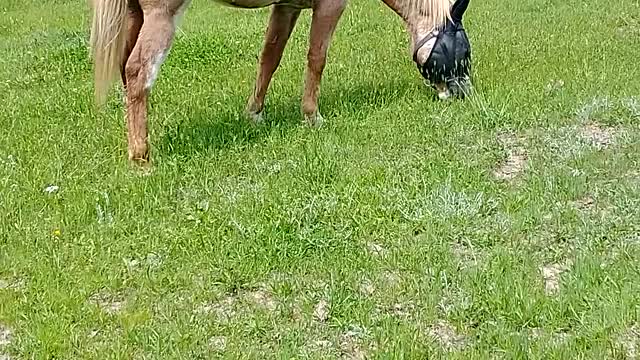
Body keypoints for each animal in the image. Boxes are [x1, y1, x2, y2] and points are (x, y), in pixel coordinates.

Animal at [90, 0, 468, 166]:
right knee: (138, 72)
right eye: (463, 48)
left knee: (125, 70)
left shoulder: (288, 7)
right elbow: (316, 58)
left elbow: (270, 56)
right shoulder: (329, 7)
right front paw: (312, 116)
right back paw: (141, 157)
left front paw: (255, 113)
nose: (461, 94)